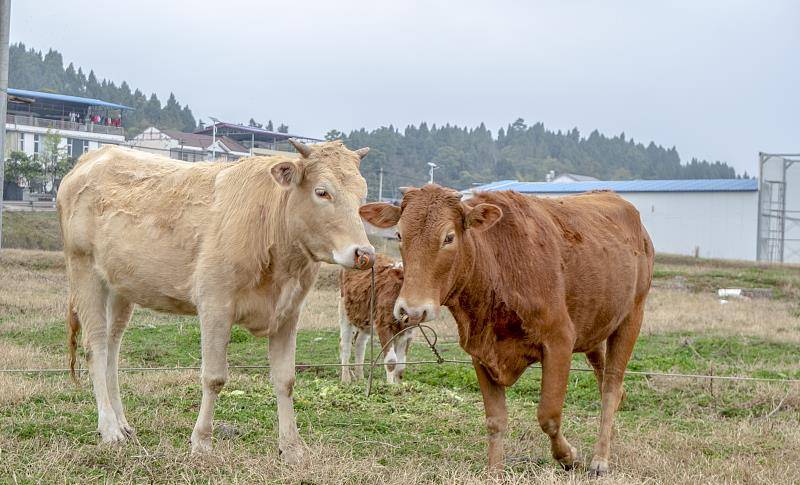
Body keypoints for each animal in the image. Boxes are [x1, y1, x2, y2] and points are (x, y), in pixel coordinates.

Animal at [338, 255, 416, 384]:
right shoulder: (384, 325)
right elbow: (391, 361)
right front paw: (390, 386)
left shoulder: (408, 332)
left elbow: (401, 365)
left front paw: (399, 386)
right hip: (345, 312)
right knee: (345, 345)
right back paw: (346, 380)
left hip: (365, 321)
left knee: (359, 344)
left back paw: (360, 379)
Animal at [360, 183, 652, 474]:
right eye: (399, 234)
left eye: (449, 237)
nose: (411, 310)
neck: (497, 268)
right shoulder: (479, 350)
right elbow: (495, 419)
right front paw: (494, 470)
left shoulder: (559, 340)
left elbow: (549, 415)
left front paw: (568, 456)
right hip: (596, 328)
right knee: (611, 386)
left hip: (632, 318)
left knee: (611, 387)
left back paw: (600, 459)